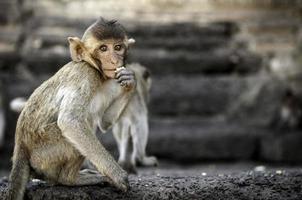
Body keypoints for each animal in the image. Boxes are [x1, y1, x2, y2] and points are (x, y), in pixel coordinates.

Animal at [6, 17, 136, 200]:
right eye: (103, 48)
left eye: (118, 47)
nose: (114, 60)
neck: (95, 70)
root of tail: (20, 146)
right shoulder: (86, 75)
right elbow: (70, 121)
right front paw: (117, 175)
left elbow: (104, 122)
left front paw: (130, 81)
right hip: (44, 153)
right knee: (82, 124)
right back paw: (70, 179)